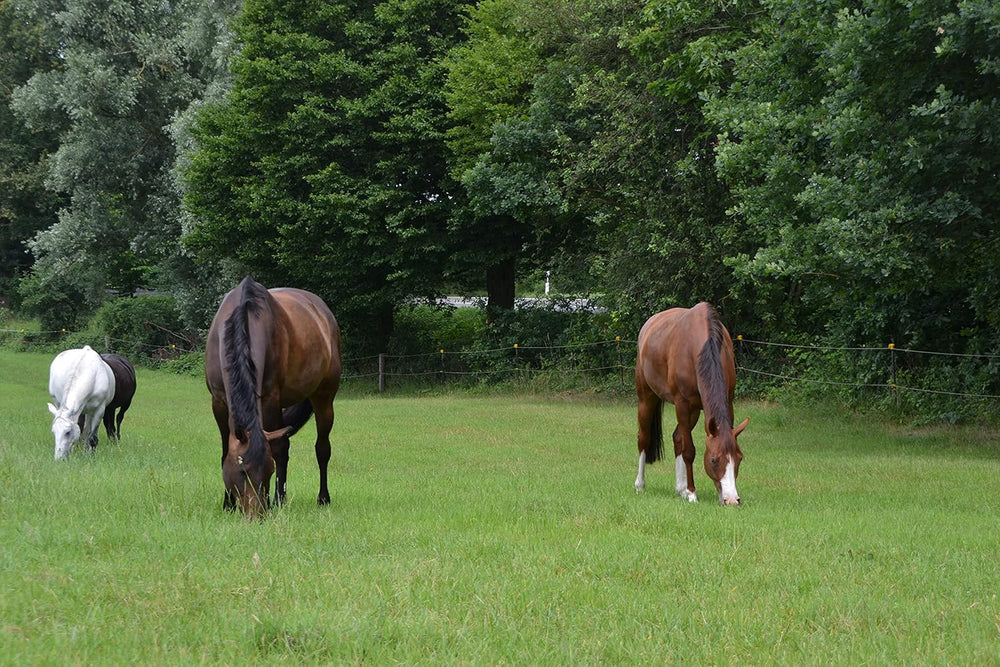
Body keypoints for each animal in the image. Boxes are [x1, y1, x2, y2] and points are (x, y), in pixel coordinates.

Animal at [205, 277, 342, 517]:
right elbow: (224, 451)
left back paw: (320, 498)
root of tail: (323, 311)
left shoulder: (269, 398)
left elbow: (277, 451)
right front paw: (228, 504)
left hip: (323, 398)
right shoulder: (219, 402)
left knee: (321, 448)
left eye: (269, 471)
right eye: (242, 471)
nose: (256, 515)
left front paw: (272, 501)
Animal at [634, 303, 749, 505]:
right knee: (644, 438)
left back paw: (680, 488)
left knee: (677, 437)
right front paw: (692, 493)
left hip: (695, 411)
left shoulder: (727, 402)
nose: (732, 500)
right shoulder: (682, 404)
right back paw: (640, 485)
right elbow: (689, 450)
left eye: (739, 458)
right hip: (647, 398)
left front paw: (689, 490)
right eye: (714, 460)